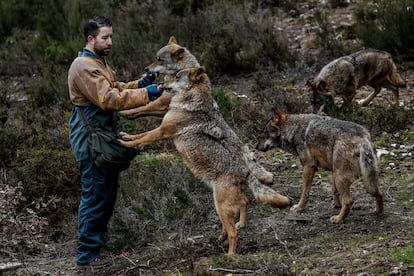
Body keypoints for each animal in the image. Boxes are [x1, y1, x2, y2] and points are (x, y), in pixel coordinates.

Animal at [119, 67, 292, 254]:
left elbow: (141, 137)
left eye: (177, 77)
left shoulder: (162, 131)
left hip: (220, 205)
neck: (192, 102)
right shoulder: (161, 128)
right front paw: (125, 134)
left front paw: (123, 142)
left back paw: (229, 255)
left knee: (233, 232)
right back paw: (227, 234)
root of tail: (244, 170)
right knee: (242, 207)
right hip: (222, 203)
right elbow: (139, 135)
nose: (162, 84)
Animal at [256, 106, 384, 223]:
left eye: (265, 133)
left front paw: (299, 208)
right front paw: (336, 205)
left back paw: (338, 219)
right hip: (364, 177)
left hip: (341, 177)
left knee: (349, 201)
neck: (293, 129)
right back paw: (378, 212)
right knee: (379, 193)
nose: (256, 147)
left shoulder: (309, 167)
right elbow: (334, 190)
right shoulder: (332, 171)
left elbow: (305, 192)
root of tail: (363, 138)